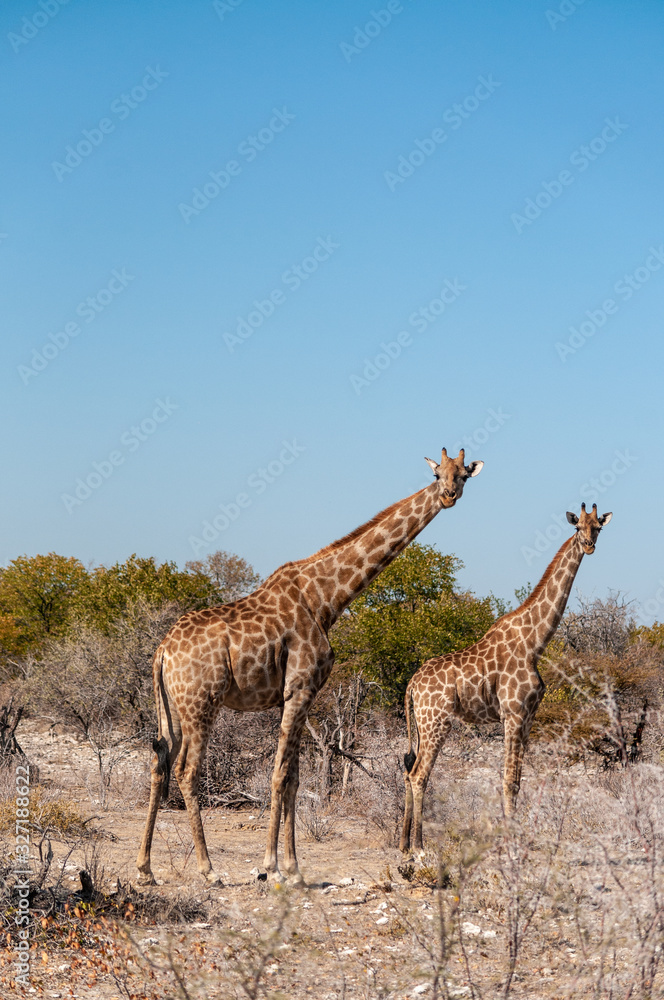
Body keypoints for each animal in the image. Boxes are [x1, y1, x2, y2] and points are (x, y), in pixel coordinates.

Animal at [136, 448, 484, 886]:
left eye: (464, 475)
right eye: (438, 474)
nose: (449, 495)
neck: (327, 599)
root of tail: (162, 651)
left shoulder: (302, 695)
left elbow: (296, 777)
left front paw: (294, 868)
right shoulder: (299, 688)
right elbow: (281, 774)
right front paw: (270, 866)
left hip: (171, 706)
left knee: (158, 763)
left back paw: (145, 868)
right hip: (202, 702)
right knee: (185, 770)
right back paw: (208, 869)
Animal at [400, 502, 613, 854]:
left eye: (598, 527)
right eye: (577, 527)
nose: (589, 546)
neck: (535, 643)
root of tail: (412, 685)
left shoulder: (528, 716)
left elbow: (518, 779)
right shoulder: (512, 714)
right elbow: (508, 780)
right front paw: (510, 841)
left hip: (421, 723)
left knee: (408, 771)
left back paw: (402, 843)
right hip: (436, 721)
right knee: (419, 774)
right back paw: (419, 847)